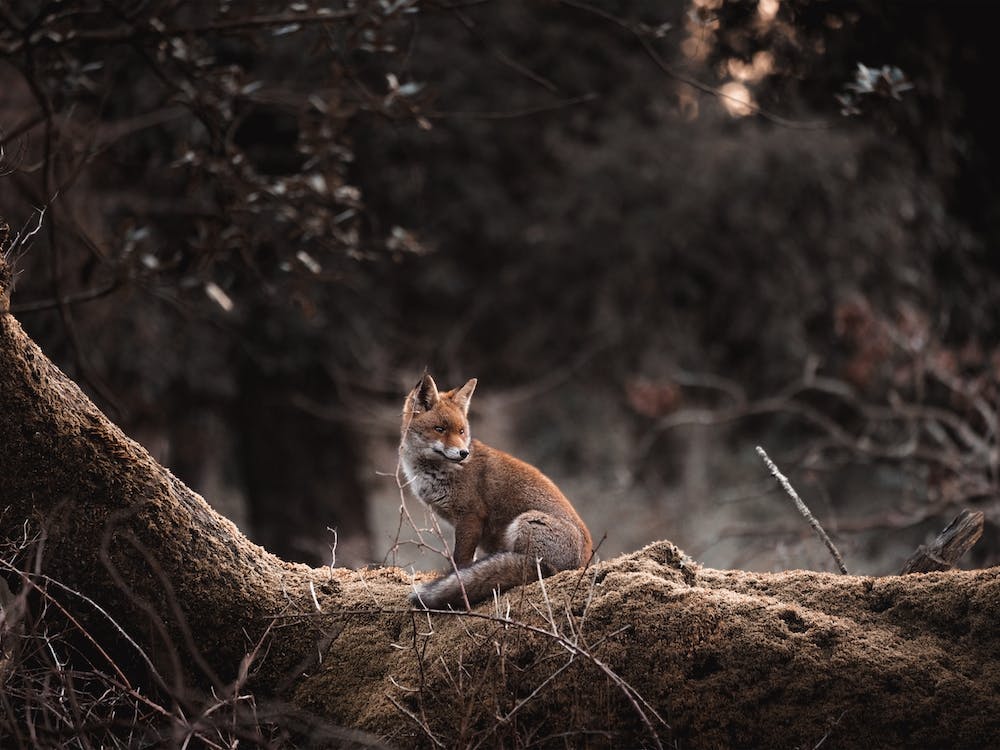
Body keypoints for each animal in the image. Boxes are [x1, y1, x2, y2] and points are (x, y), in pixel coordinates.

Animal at [400, 374, 593, 609]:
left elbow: (461, 562)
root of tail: (583, 562)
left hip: (526, 523)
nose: (463, 453)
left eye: (461, 431)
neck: (435, 472)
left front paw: (457, 582)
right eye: (440, 429)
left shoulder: (471, 516)